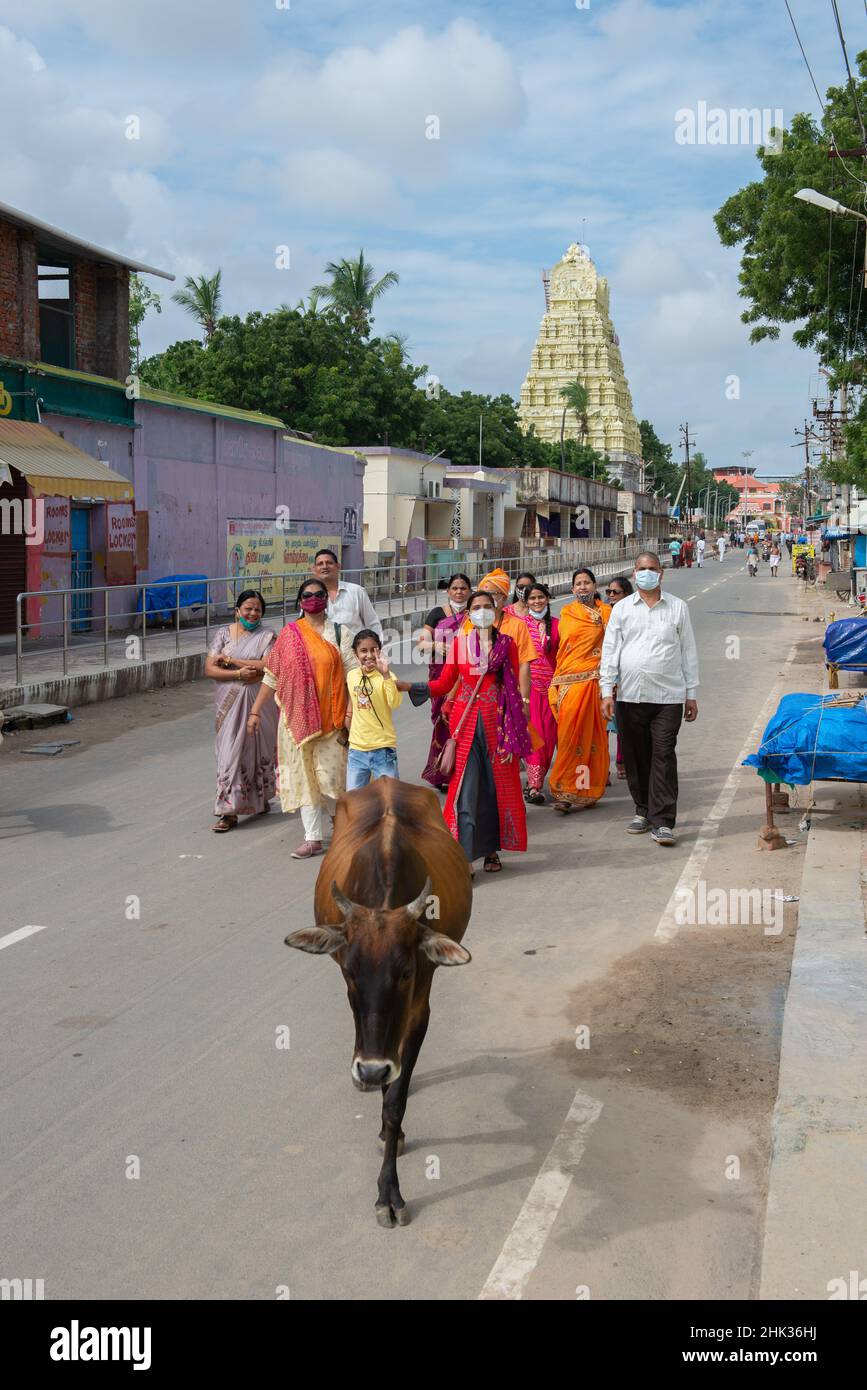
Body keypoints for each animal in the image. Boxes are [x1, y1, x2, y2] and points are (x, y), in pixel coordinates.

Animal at [287, 783, 469, 1228]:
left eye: (404, 972)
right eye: (351, 971)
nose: (370, 1069)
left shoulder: (418, 1008)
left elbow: (395, 1103)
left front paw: (389, 1190)